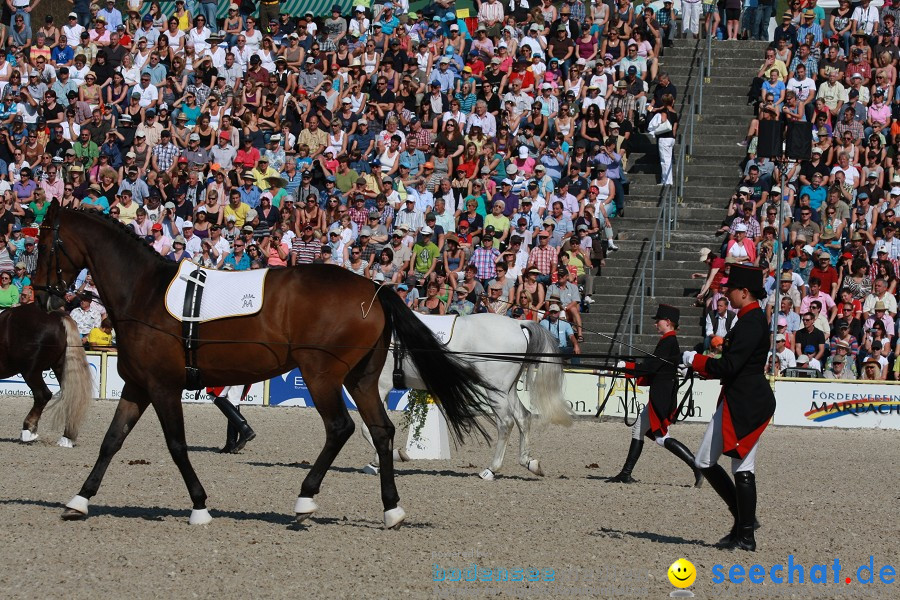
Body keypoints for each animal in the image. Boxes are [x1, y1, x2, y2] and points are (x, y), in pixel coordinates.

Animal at [0, 304, 93, 446]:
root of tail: (55, 315)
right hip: (60, 367)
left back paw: (28, 430)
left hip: (31, 371)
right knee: (70, 396)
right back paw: (67, 437)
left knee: (42, 395)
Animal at [33, 203, 492, 528]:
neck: (143, 292)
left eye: (43, 245)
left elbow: (177, 445)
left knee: (340, 428)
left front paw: (200, 507)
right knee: (381, 431)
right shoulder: (138, 386)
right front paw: (79, 500)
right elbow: (112, 440)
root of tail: (374, 289)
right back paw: (391, 510)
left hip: (321, 375)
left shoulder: (163, 387)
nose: (41, 296)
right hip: (360, 379)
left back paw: (305, 500)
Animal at [358, 314, 568, 478]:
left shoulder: (378, 386)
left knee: (506, 423)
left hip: (496, 391)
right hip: (508, 390)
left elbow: (368, 428)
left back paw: (491, 470)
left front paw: (388, 458)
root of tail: (517, 323)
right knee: (523, 417)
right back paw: (529, 462)